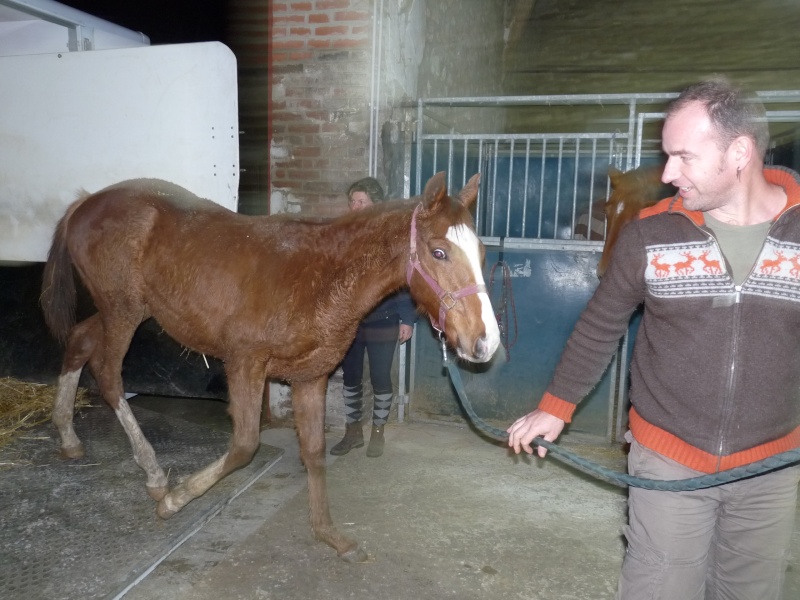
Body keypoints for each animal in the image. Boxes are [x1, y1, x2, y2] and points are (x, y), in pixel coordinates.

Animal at [42, 172, 500, 564]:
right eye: (439, 252)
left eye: (481, 253)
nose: (486, 342)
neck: (320, 277)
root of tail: (87, 202)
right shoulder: (245, 363)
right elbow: (244, 445)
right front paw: (176, 500)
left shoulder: (311, 377)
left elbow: (313, 451)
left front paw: (330, 535)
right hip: (122, 309)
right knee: (108, 375)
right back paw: (155, 475)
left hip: (124, 310)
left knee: (79, 342)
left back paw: (68, 435)